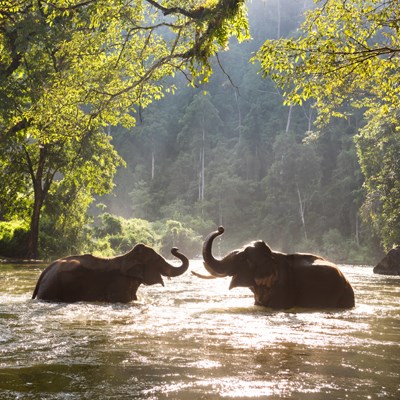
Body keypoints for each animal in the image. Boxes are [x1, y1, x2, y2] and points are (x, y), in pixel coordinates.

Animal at [31, 244, 189, 304]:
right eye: (156, 260)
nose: (175, 248)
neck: (127, 256)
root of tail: (45, 271)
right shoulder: (119, 285)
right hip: (52, 288)